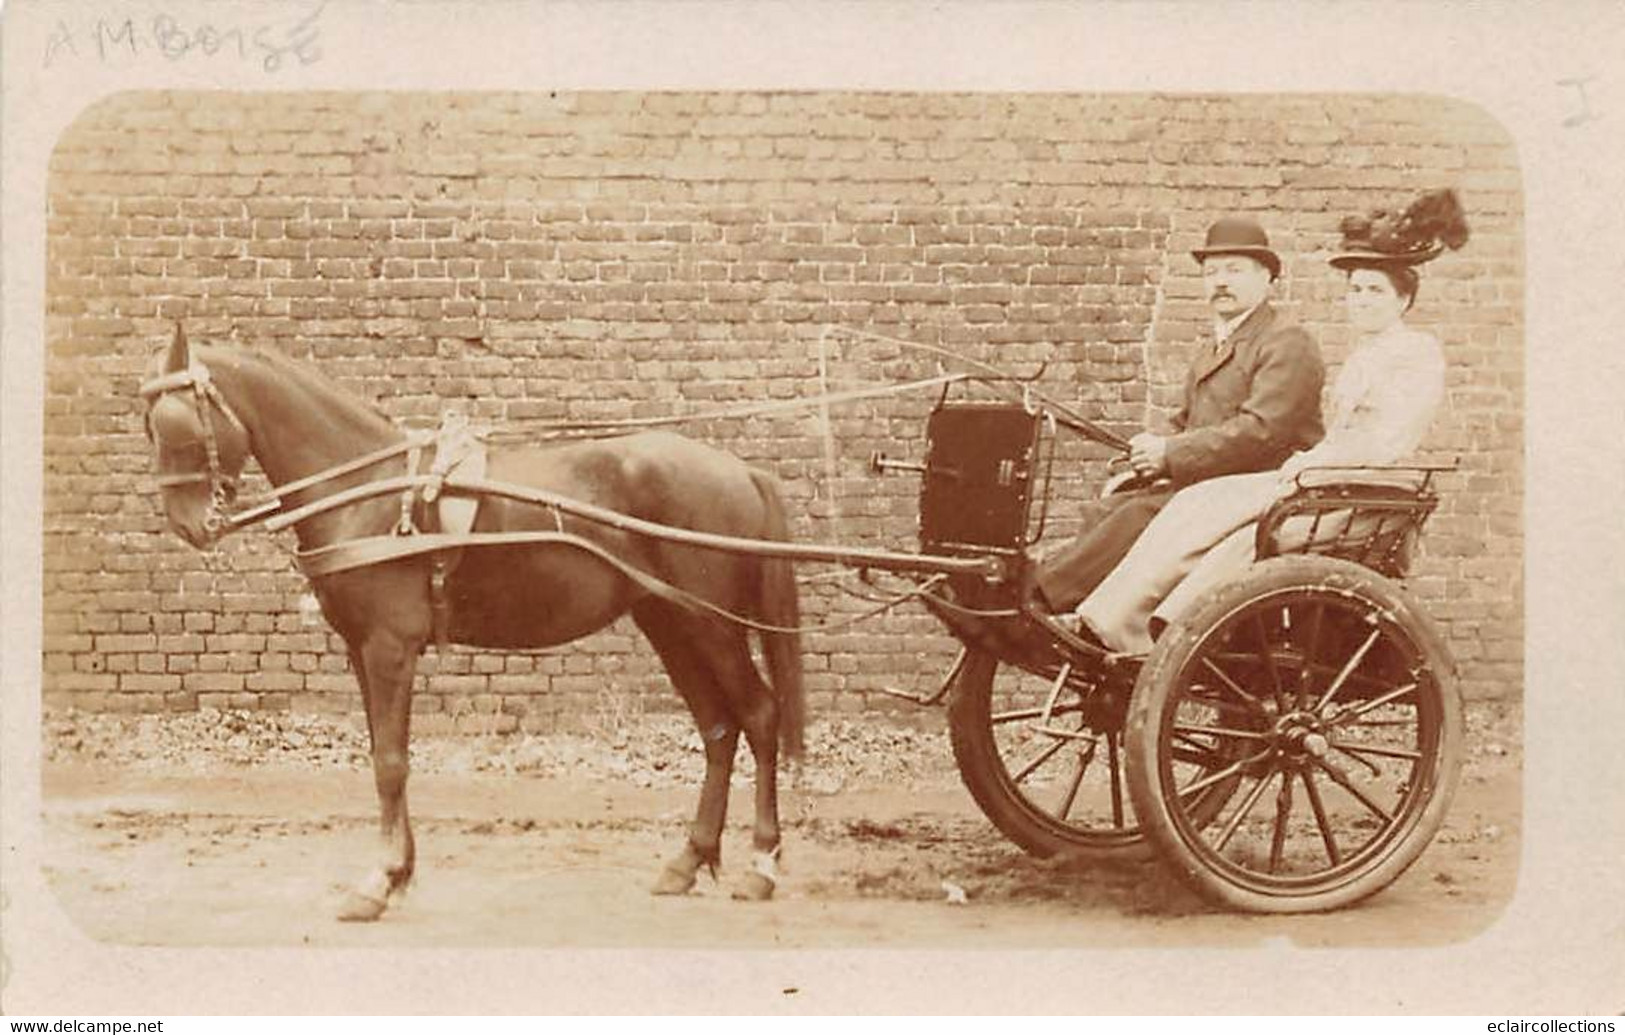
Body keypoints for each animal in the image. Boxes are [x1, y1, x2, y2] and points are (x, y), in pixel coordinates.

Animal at [139, 324, 806, 922]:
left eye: (179, 423)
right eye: (151, 426)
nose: (189, 525)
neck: (370, 490)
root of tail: (742, 471)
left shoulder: (389, 649)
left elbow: (390, 763)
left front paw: (379, 882)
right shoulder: (362, 650)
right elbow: (386, 753)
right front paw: (400, 873)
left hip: (709, 624)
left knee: (757, 716)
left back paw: (762, 865)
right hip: (668, 620)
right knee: (718, 727)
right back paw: (688, 860)